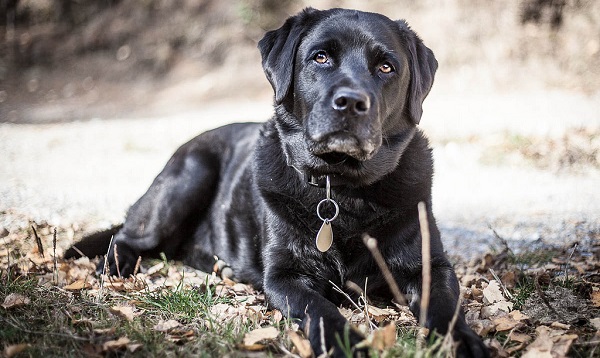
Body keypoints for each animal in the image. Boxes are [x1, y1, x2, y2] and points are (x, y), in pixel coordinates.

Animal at [67, 8, 488, 358]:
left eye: (386, 67)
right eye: (320, 57)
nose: (351, 102)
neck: (341, 190)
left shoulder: (429, 266)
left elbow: (447, 309)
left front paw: (465, 342)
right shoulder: (286, 276)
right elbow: (321, 308)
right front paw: (345, 343)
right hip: (187, 177)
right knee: (125, 236)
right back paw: (116, 269)